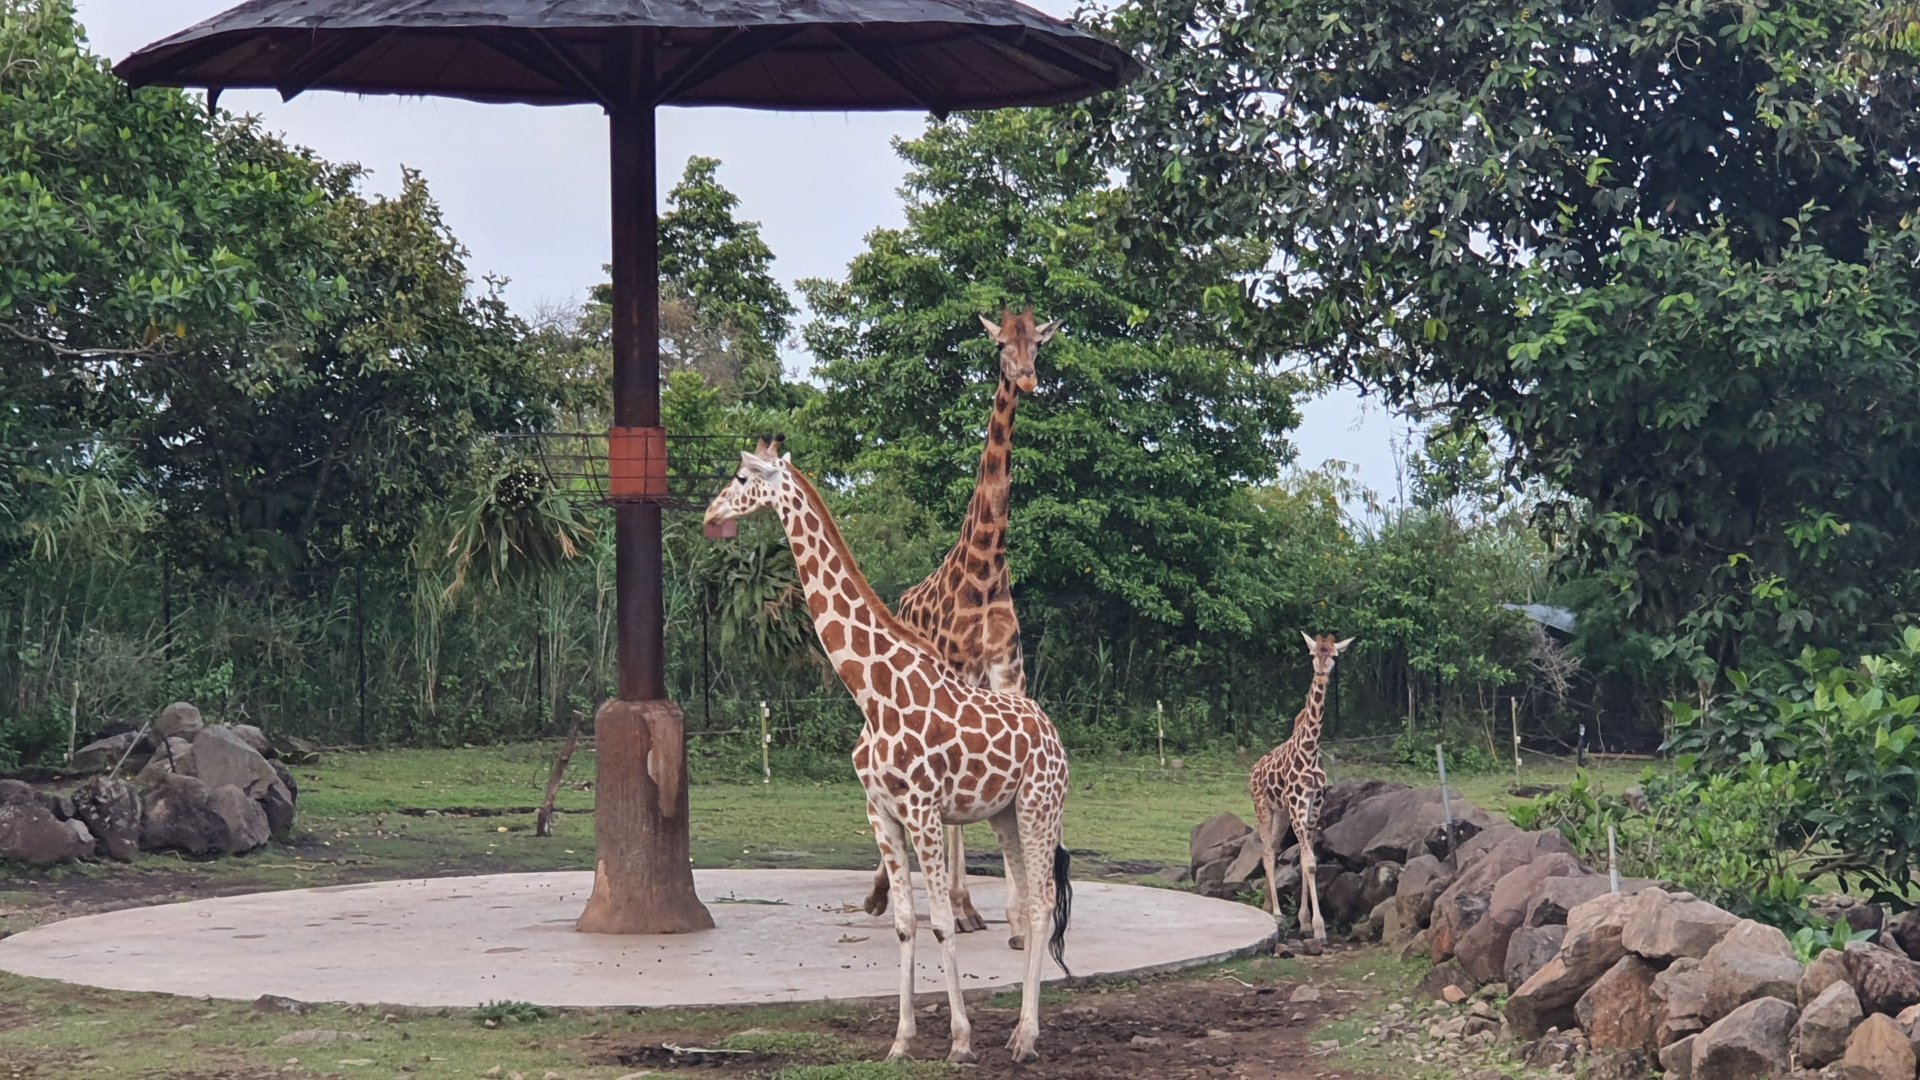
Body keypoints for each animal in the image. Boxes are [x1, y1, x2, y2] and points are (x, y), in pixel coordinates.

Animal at [703, 438, 1074, 1064]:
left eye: (741, 477)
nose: (710, 516)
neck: (870, 692)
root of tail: (1053, 734)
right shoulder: (880, 811)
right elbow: (905, 922)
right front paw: (901, 1041)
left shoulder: (923, 809)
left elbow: (943, 921)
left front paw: (960, 1041)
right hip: (1003, 813)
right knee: (1027, 898)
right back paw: (1019, 1032)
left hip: (1039, 806)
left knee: (1045, 901)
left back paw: (1026, 1037)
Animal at [864, 306, 1060, 947]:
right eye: (1000, 345)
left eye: (1038, 344)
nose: (1026, 379)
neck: (985, 570)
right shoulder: (959, 674)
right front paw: (964, 906)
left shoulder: (1007, 673)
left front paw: (1018, 919)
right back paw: (888, 893)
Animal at [1248, 632, 1353, 944]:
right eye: (1313, 654)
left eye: (1334, 655)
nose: (1321, 672)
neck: (1310, 750)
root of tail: (1253, 770)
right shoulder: (1297, 805)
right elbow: (1306, 862)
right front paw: (1317, 927)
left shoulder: (1313, 806)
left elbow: (1311, 862)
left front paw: (1306, 922)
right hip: (1263, 807)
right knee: (1267, 851)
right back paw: (1276, 912)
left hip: (1281, 813)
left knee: (1271, 847)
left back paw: (1268, 905)